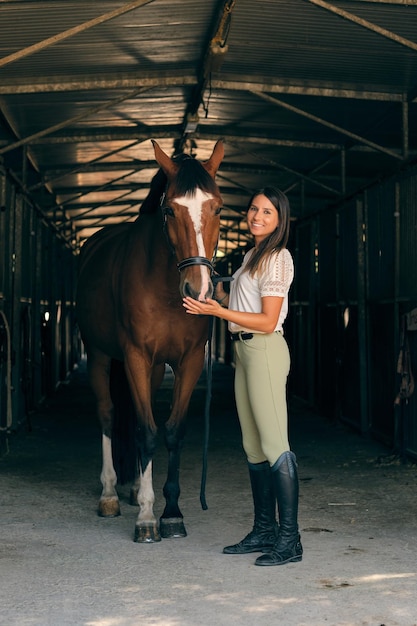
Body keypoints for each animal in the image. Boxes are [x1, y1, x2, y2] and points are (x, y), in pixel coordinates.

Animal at [76, 139, 223, 540]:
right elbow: (145, 430)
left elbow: (172, 432)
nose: (198, 290)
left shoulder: (189, 360)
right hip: (99, 356)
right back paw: (111, 494)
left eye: (217, 208)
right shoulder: (136, 357)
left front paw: (171, 514)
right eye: (170, 210)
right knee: (108, 415)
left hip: (156, 368)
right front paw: (145, 517)